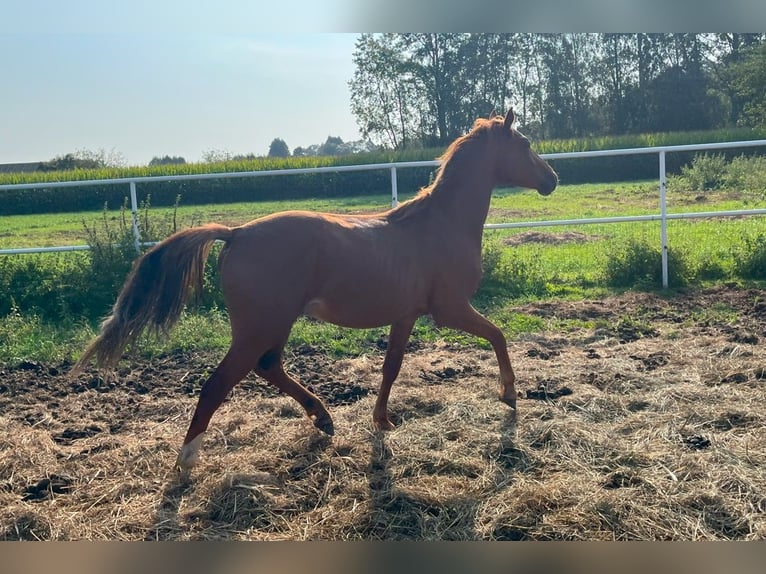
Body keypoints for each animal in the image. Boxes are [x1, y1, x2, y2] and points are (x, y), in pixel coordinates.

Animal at [75, 109, 560, 472]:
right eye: (525, 144)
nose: (552, 180)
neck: (439, 225)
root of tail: (236, 233)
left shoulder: (406, 315)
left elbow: (391, 368)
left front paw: (382, 421)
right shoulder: (451, 308)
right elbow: (498, 335)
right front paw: (509, 395)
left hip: (276, 323)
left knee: (269, 366)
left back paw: (323, 418)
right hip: (258, 327)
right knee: (219, 383)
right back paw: (187, 459)